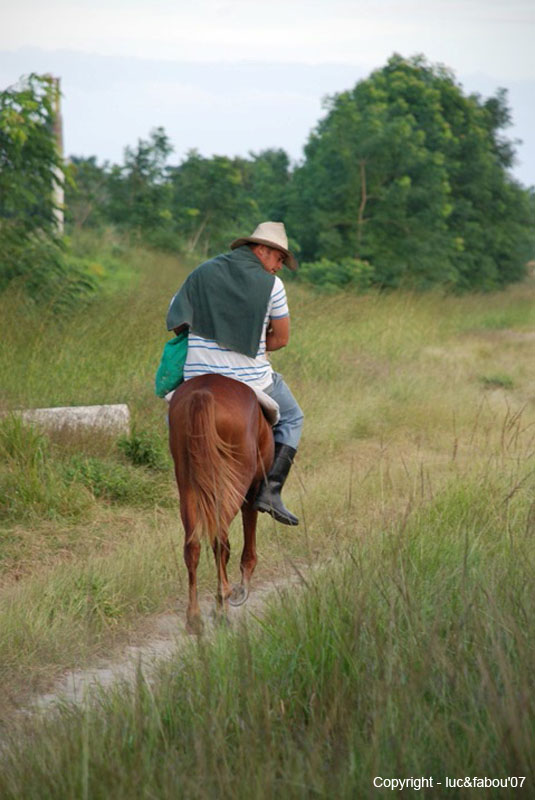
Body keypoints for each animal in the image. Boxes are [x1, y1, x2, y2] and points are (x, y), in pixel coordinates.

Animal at [169, 374, 276, 632]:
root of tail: (204, 394)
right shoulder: (253, 486)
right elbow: (249, 530)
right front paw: (242, 587)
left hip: (187, 483)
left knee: (193, 545)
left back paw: (194, 617)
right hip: (235, 480)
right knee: (220, 539)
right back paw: (222, 606)